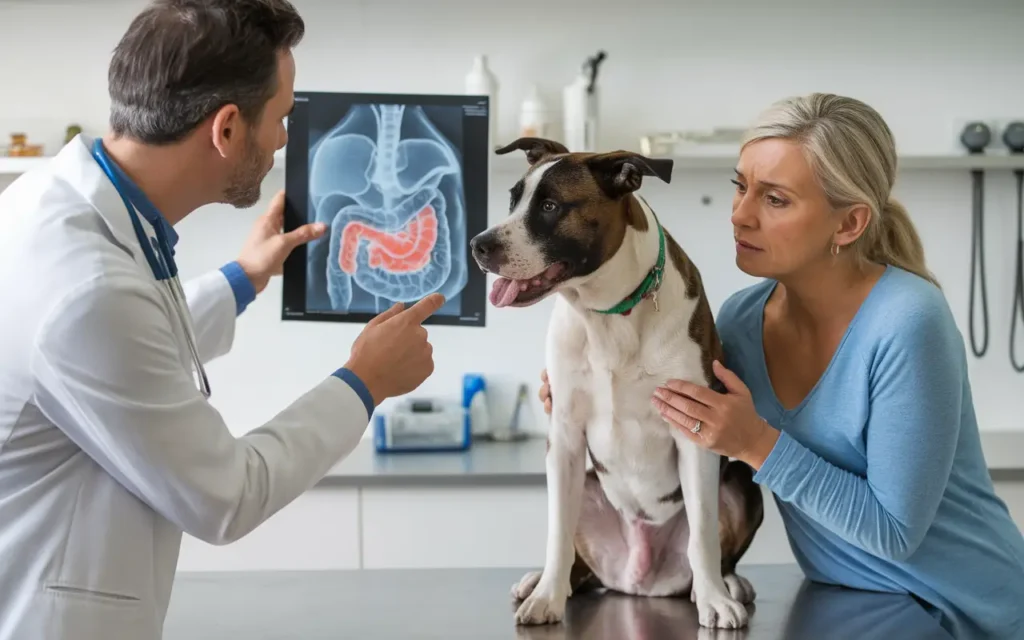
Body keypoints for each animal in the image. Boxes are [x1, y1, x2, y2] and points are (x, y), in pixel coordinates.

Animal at [468, 136, 765, 630]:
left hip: (743, 482)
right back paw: (542, 581)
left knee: (718, 546)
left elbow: (703, 533)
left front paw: (714, 600)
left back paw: (727, 584)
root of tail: (637, 579)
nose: (478, 245)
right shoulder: (564, 437)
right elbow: (557, 533)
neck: (609, 313)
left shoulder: (695, 430)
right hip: (586, 483)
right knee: (574, 554)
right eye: (513, 200)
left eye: (549, 206)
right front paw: (547, 597)